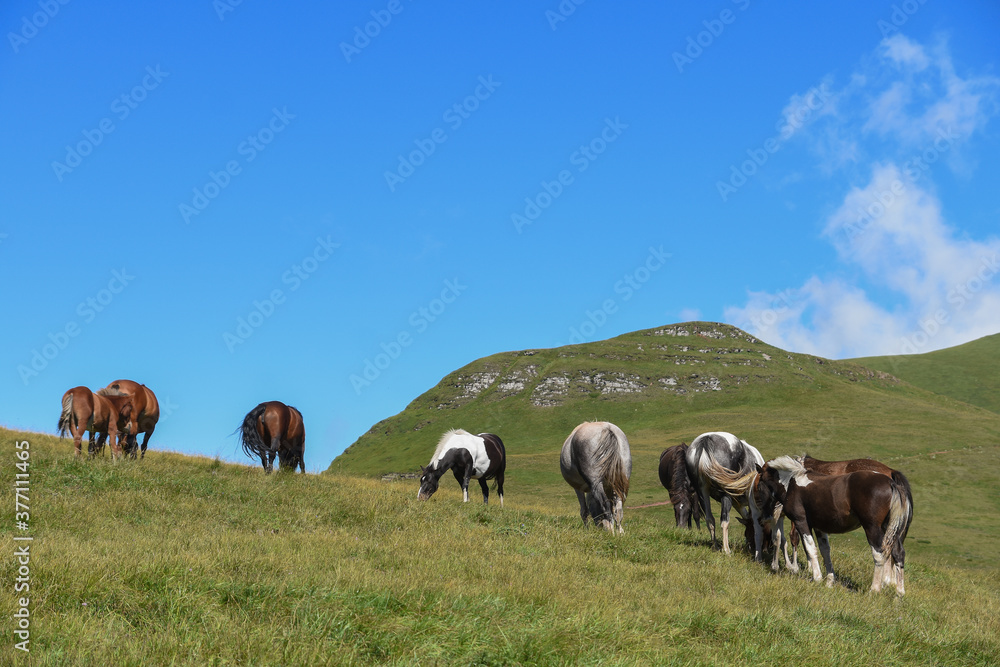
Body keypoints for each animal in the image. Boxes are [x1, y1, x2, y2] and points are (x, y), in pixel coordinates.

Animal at [755, 456, 912, 595]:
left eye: (759, 486)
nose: (763, 518)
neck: (792, 483)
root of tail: (891, 483)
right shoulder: (819, 527)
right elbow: (825, 551)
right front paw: (829, 581)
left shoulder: (801, 522)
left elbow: (810, 549)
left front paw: (817, 578)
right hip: (890, 529)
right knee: (898, 553)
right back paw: (899, 593)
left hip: (872, 528)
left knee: (879, 554)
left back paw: (874, 590)